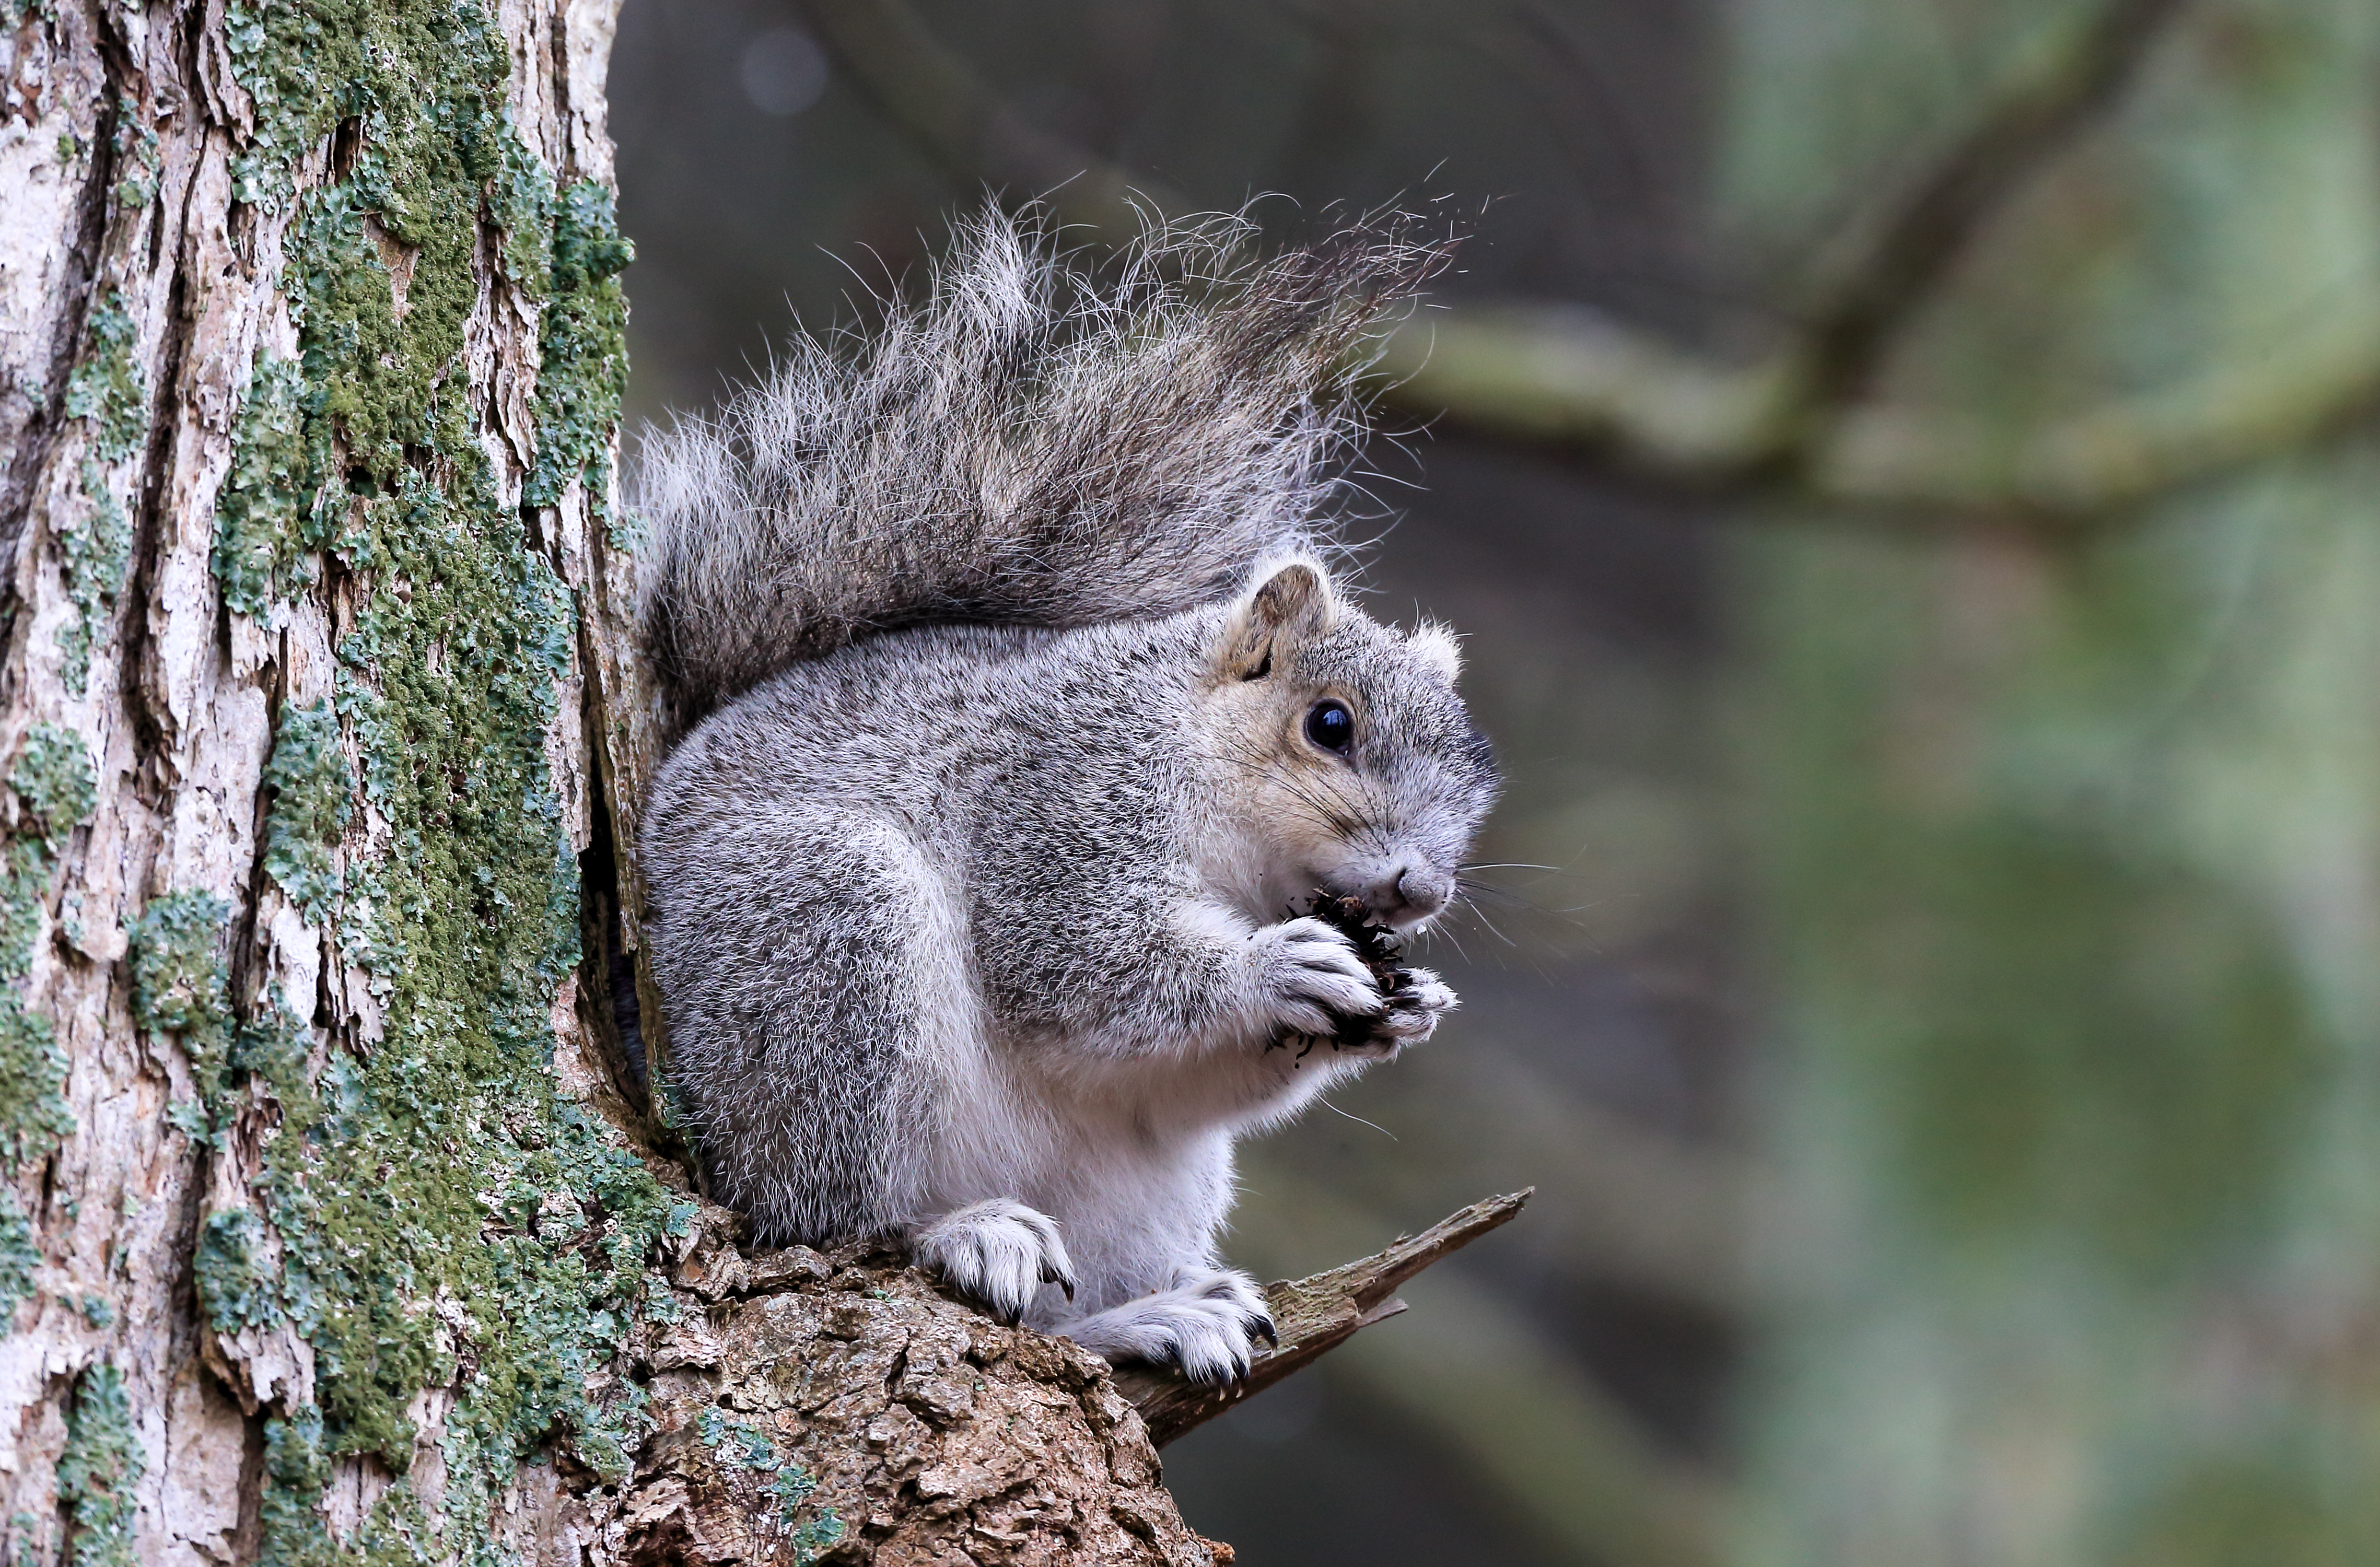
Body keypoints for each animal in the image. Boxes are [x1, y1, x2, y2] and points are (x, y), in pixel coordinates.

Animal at [633, 210, 1499, 1383]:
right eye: (1330, 725)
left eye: (1475, 780)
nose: (1419, 891)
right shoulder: (1058, 796)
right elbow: (1079, 958)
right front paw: (1276, 968)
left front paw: (1408, 1004)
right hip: (820, 938)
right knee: (822, 1219)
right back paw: (958, 1229)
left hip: (1143, 1184)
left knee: (1050, 1326)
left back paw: (1152, 1319)